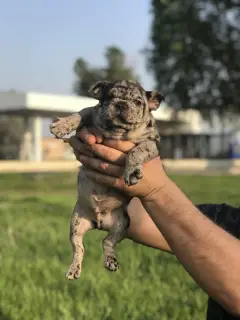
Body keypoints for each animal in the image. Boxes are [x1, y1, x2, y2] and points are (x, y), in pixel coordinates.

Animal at [49, 80, 164, 280]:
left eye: (138, 102)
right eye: (109, 97)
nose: (121, 104)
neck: (117, 131)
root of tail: (99, 222)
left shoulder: (151, 143)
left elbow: (138, 150)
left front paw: (132, 170)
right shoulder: (91, 112)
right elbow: (79, 113)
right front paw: (62, 125)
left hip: (122, 224)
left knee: (107, 242)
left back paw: (110, 261)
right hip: (76, 223)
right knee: (79, 247)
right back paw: (74, 269)